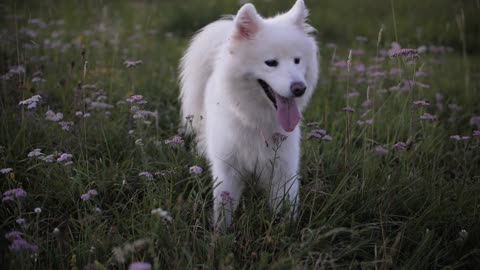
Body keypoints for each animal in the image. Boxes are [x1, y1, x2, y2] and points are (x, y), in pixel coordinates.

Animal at [180, 0, 318, 229]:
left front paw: (287, 230)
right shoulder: (227, 172)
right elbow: (223, 211)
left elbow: (286, 210)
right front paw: (220, 235)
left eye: (297, 60)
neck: (257, 121)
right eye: (271, 62)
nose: (299, 88)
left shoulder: (284, 171)